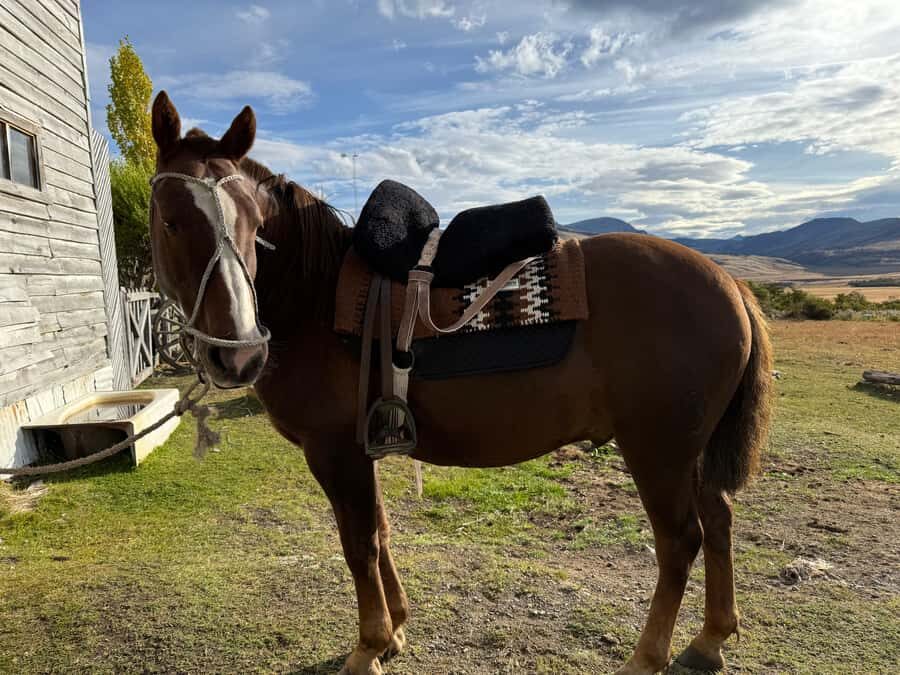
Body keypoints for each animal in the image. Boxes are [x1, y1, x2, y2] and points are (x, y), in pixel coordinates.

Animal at [148, 91, 773, 675]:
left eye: (255, 226)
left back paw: (648, 654)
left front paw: (369, 645)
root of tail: (730, 283)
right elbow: (381, 531)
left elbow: (359, 543)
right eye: (172, 220)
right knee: (719, 520)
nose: (240, 353)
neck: (315, 294)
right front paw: (396, 629)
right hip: (690, 452)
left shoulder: (334, 451)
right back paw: (710, 638)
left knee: (680, 541)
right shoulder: (363, 445)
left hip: (657, 450)